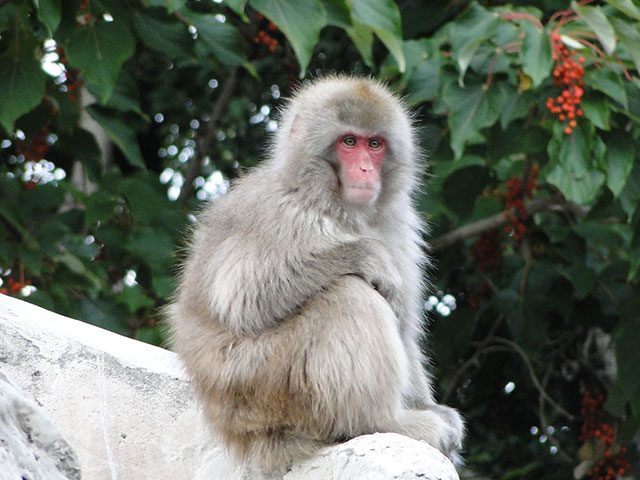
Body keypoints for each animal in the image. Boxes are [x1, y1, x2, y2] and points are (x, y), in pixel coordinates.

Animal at [167, 75, 464, 471]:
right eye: (349, 142)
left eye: (375, 144)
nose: (365, 169)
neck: (337, 206)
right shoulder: (282, 213)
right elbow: (245, 300)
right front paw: (365, 254)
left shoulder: (398, 226)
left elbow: (404, 327)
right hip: (262, 383)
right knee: (348, 296)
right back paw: (383, 421)